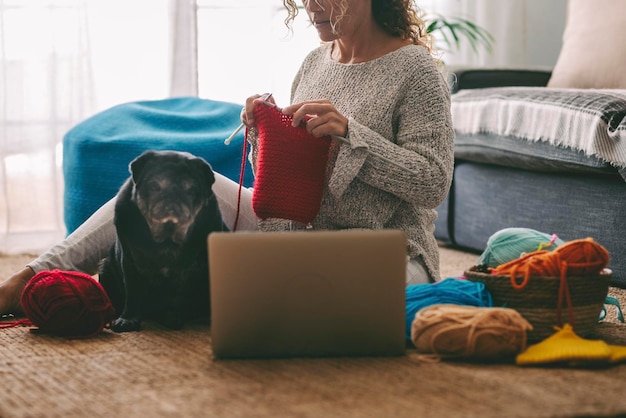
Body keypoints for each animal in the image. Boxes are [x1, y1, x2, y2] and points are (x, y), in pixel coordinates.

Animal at [101, 150, 228, 334]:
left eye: (191, 191)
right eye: (154, 187)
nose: (172, 198)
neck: (167, 242)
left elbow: (180, 296)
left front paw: (173, 317)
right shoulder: (130, 264)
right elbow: (132, 293)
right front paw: (127, 319)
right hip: (105, 268)